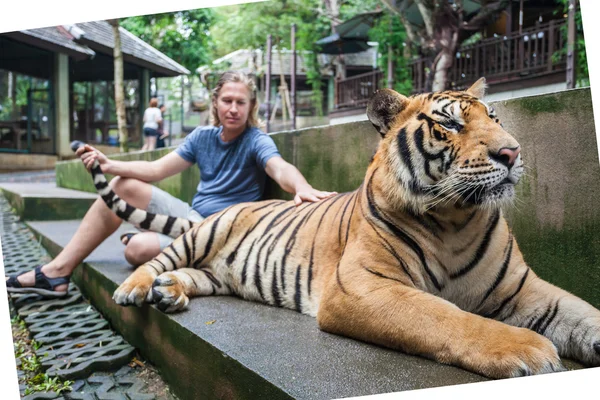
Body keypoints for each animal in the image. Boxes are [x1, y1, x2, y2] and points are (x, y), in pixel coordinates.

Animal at [75, 77, 600, 378]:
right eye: (449, 125)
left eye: (495, 117)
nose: (512, 153)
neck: (456, 219)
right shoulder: (364, 287)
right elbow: (445, 316)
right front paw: (529, 350)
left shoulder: (524, 288)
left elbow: (581, 312)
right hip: (202, 233)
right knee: (159, 258)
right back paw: (137, 288)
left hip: (220, 272)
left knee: (194, 275)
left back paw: (170, 292)